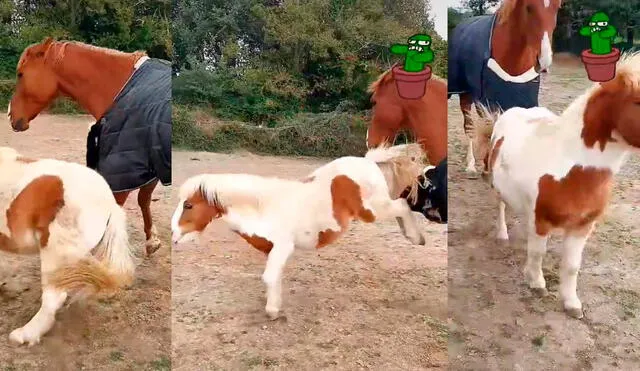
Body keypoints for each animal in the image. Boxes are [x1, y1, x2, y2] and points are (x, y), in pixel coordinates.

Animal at [172, 145, 428, 320]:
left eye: (189, 205)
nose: (174, 235)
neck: (262, 208)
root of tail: (369, 162)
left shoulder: (283, 246)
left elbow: (269, 276)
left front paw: (272, 311)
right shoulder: (271, 250)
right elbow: (273, 277)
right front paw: (274, 303)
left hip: (373, 210)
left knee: (402, 206)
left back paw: (416, 237)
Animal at [452, 0, 564, 174]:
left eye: (558, 7)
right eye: (529, 8)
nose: (544, 61)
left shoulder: (523, 99)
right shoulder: (486, 102)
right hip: (465, 93)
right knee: (469, 126)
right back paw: (471, 164)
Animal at [478, 51, 640, 320]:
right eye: (638, 101)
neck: (571, 166)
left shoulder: (582, 226)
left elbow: (572, 266)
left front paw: (571, 303)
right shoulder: (542, 219)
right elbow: (538, 253)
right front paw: (536, 282)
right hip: (496, 184)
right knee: (500, 206)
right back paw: (502, 234)